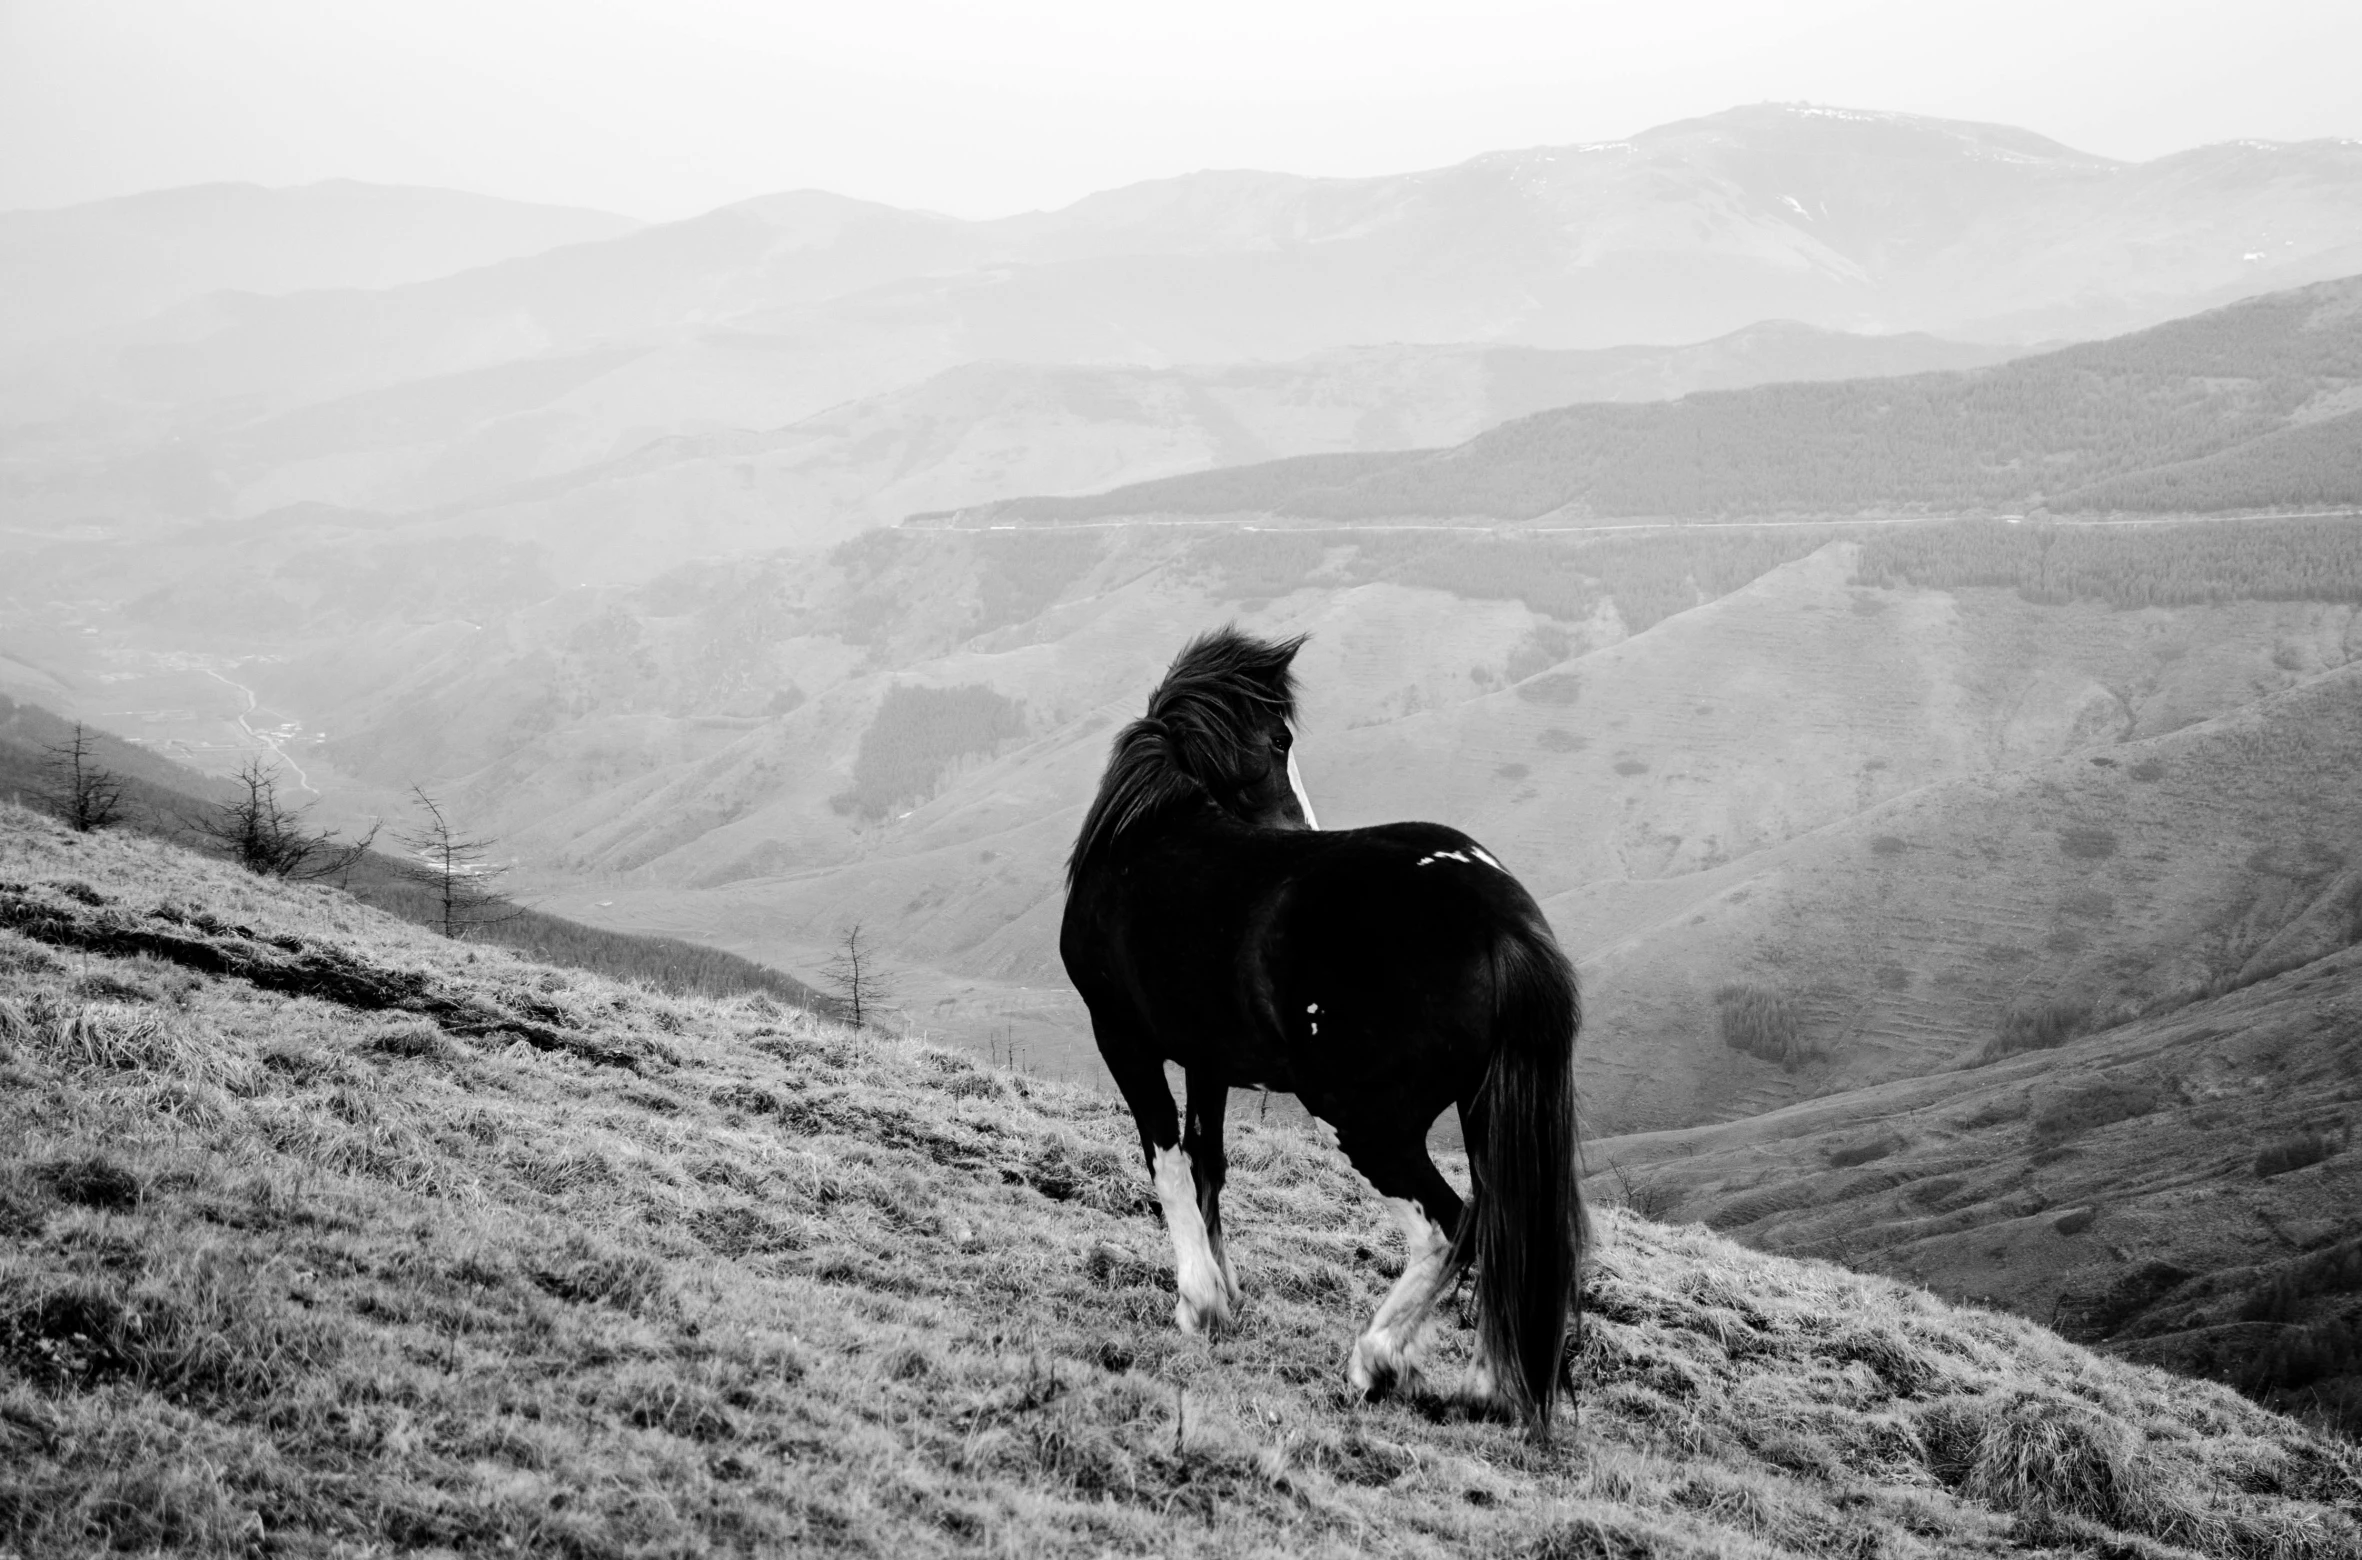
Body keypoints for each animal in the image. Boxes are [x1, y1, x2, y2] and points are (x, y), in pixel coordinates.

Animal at [1067, 628, 1587, 1427]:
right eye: (1279, 739)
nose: (1299, 828)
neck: (1150, 837)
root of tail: (1501, 920)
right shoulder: (1210, 1060)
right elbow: (1208, 1164)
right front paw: (1229, 1296)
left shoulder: (1122, 1037)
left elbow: (1167, 1163)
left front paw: (1200, 1305)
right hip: (1485, 1110)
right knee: (1507, 1233)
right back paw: (1486, 1386)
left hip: (1363, 1120)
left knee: (1453, 1228)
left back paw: (1378, 1361)